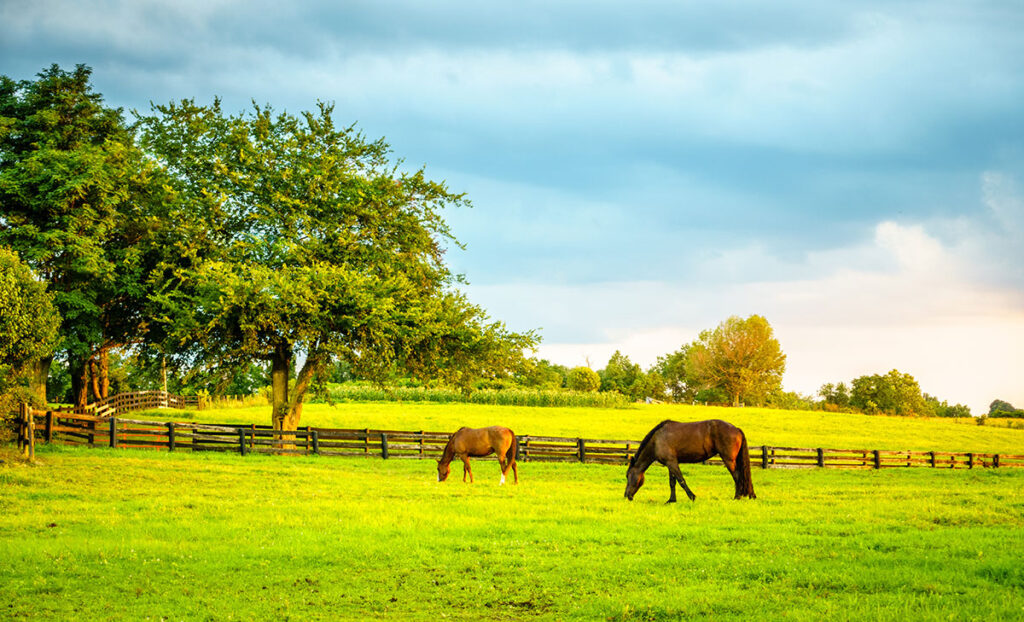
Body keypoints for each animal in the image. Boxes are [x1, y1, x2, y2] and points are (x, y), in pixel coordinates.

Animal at [624, 419, 756, 502]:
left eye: (628, 475)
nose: (626, 496)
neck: (657, 440)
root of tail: (736, 429)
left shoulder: (672, 463)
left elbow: (681, 480)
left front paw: (692, 497)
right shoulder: (670, 464)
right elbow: (672, 483)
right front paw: (671, 500)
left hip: (729, 460)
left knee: (737, 476)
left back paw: (737, 497)